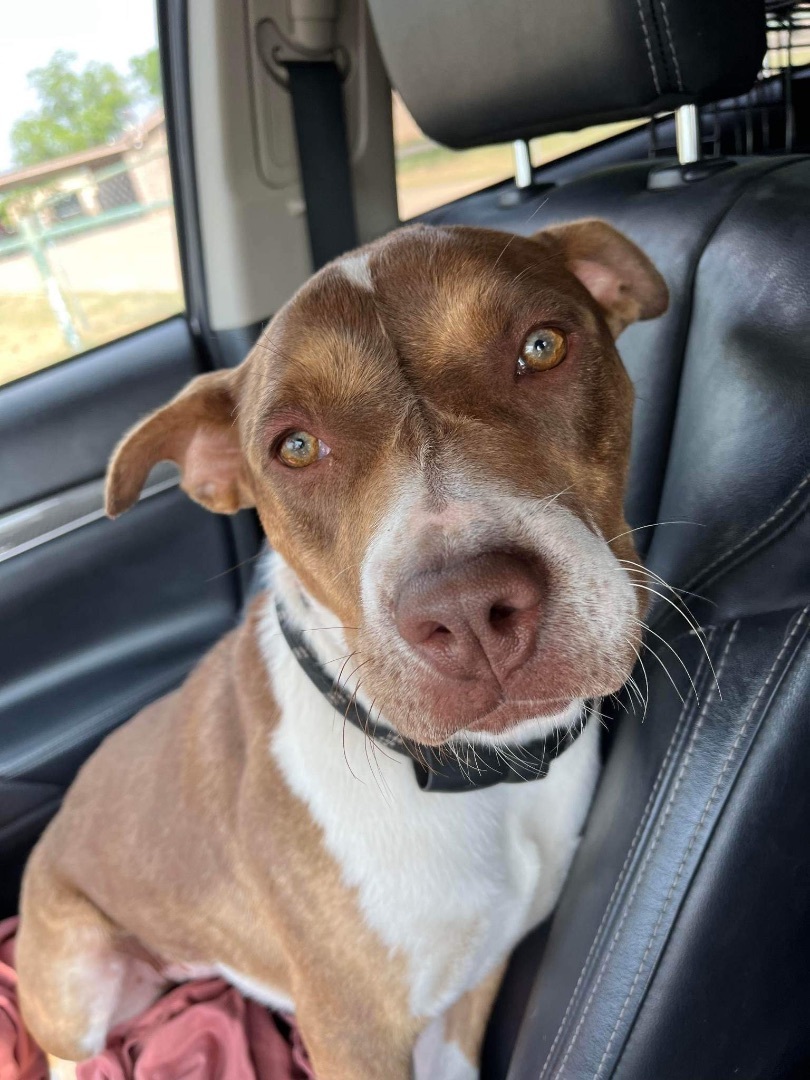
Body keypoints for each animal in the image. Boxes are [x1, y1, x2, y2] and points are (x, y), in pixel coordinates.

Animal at [17, 219, 665, 1080]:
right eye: (294, 447)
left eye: (542, 346)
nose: (467, 608)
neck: (473, 779)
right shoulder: (352, 1033)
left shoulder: (470, 984)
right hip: (76, 988)